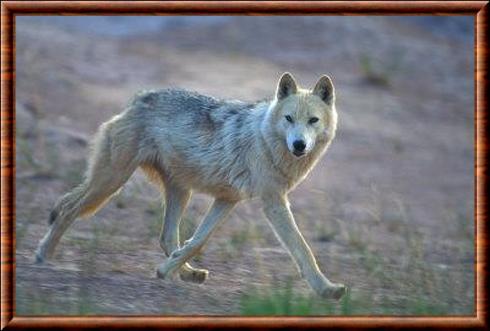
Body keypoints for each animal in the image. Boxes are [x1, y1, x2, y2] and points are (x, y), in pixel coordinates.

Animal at [34, 72, 346, 300]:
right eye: (289, 119)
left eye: (313, 121)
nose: (299, 144)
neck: (265, 139)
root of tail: (139, 98)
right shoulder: (273, 202)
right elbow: (302, 248)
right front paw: (327, 289)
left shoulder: (227, 199)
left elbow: (197, 241)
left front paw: (166, 270)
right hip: (111, 183)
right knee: (68, 210)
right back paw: (43, 256)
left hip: (177, 191)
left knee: (166, 237)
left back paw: (187, 273)